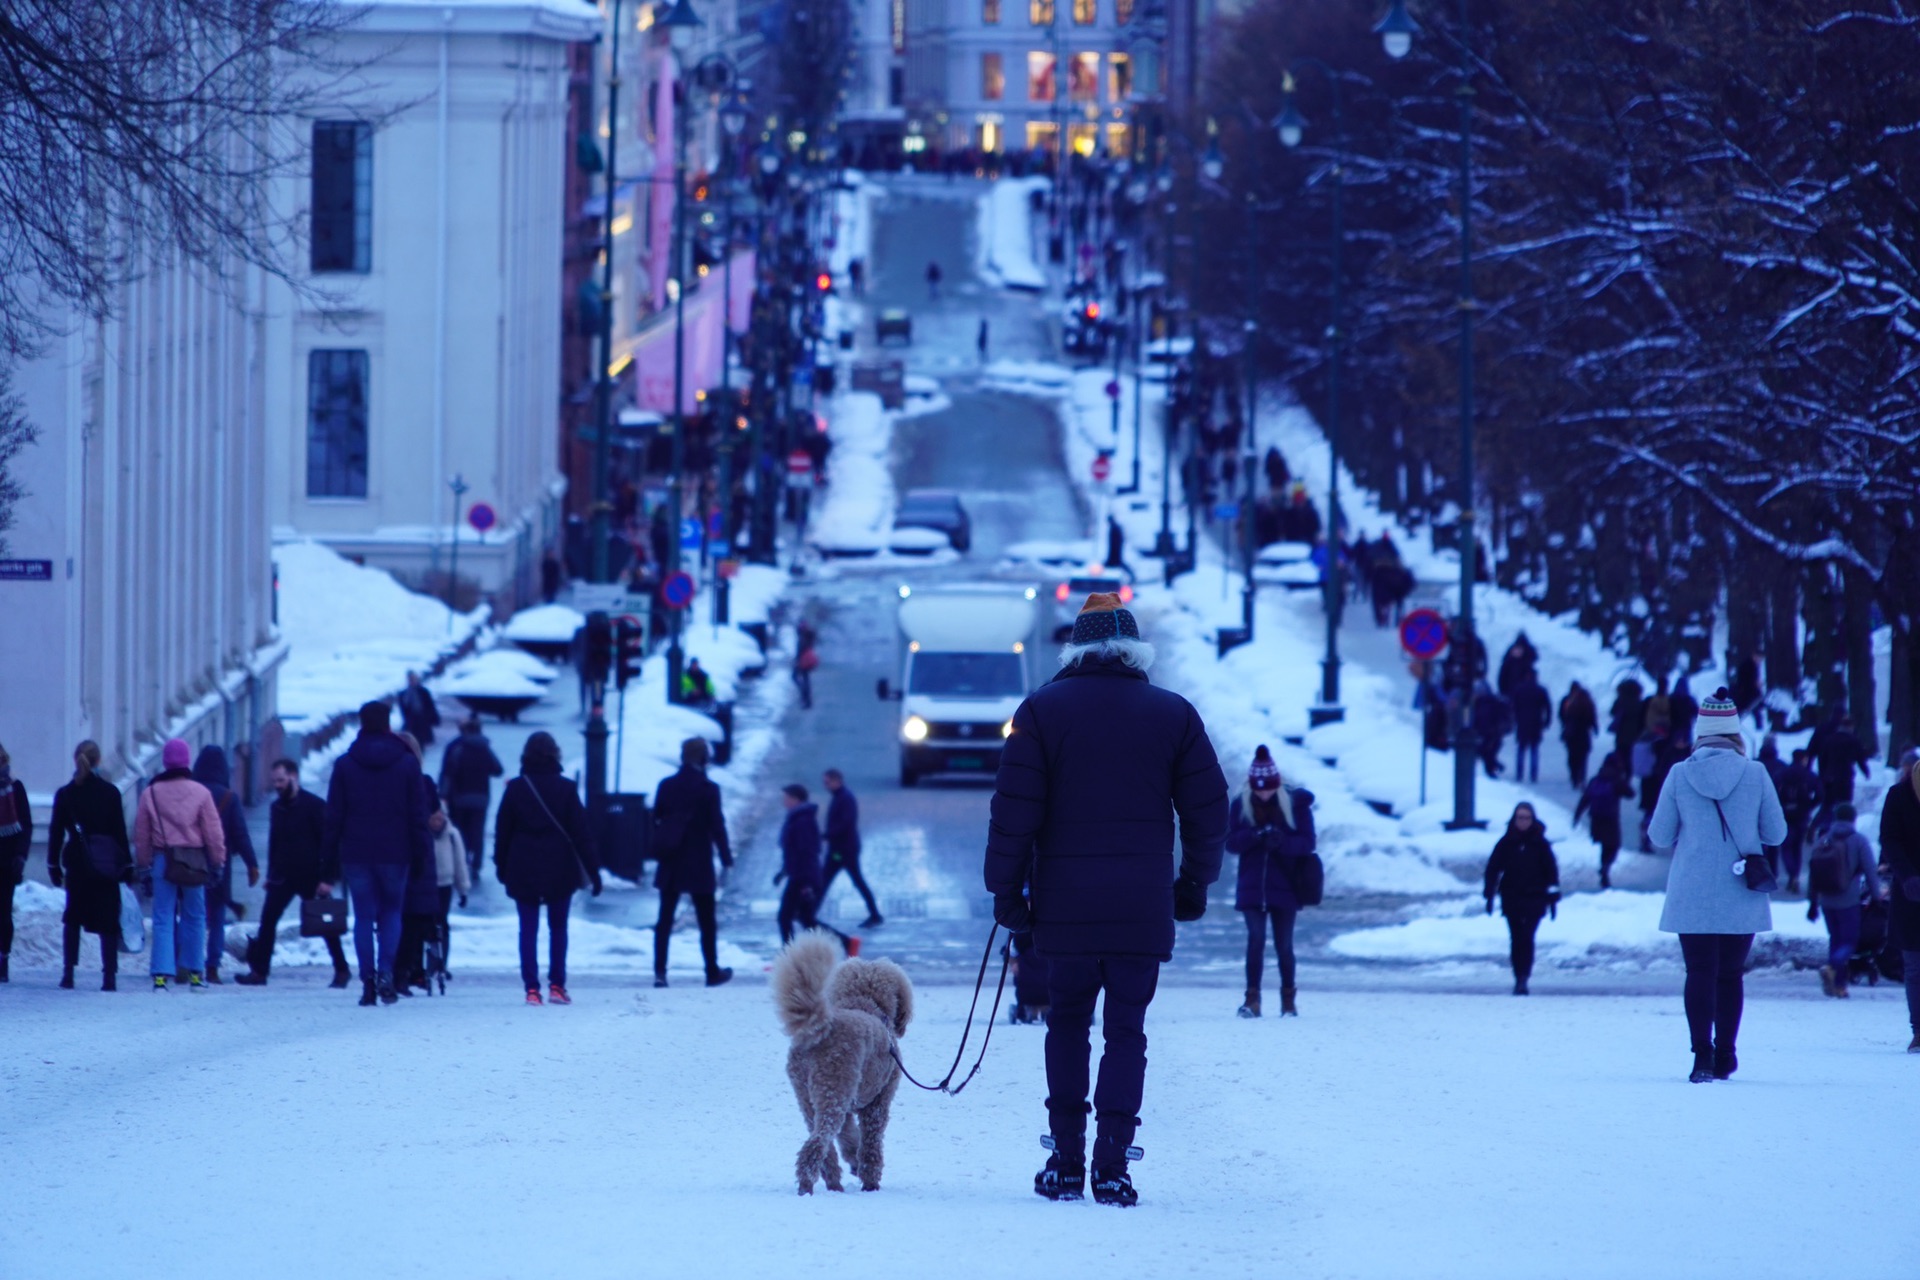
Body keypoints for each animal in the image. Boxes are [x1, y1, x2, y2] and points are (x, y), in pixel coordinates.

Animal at [771, 932, 913, 1189]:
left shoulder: (849, 1105)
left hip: (807, 1094)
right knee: (818, 1141)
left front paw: (855, 1162)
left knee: (825, 1145)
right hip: (833, 1085)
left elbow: (848, 1138)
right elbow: (871, 1143)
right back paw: (807, 1184)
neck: (864, 1003)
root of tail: (820, 1029)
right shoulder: (878, 1101)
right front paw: (870, 1182)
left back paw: (833, 1184)